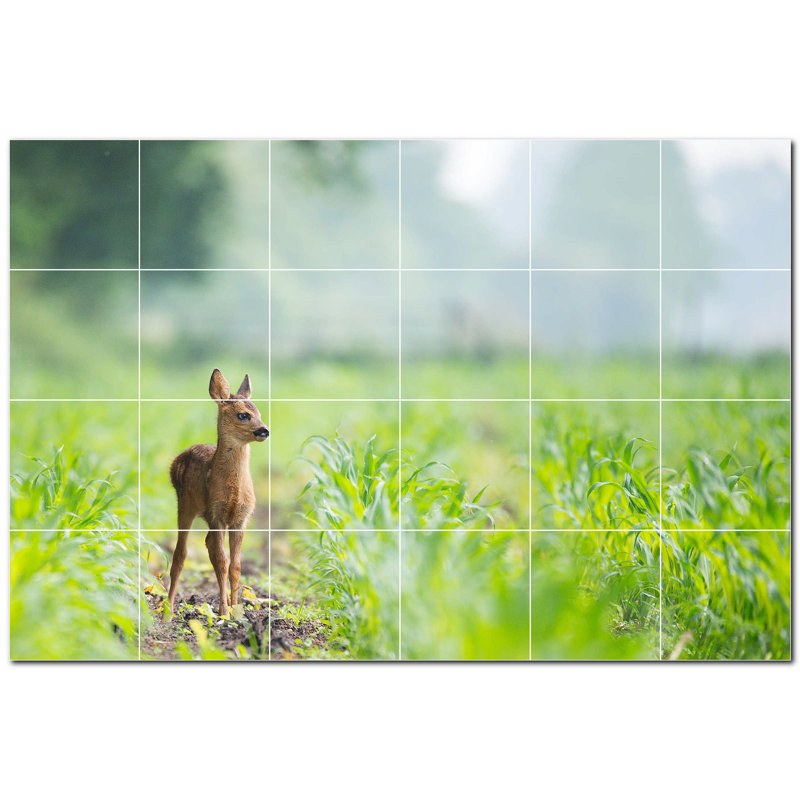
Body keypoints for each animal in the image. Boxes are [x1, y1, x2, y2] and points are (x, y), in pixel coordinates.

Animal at [167, 368, 269, 617]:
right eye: (243, 415)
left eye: (259, 412)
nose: (265, 430)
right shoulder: (217, 514)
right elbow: (222, 562)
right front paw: (224, 611)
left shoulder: (241, 519)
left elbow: (236, 565)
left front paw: (237, 609)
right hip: (184, 504)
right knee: (180, 554)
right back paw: (168, 611)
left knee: (207, 545)